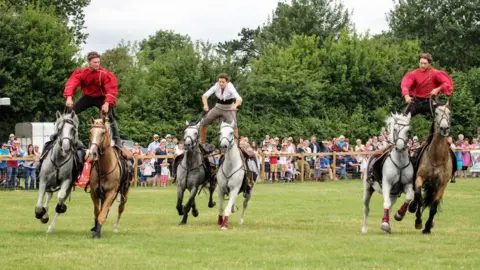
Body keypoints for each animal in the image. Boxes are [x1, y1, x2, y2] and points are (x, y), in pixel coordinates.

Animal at [408, 103, 454, 234]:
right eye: (437, 113)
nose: (444, 128)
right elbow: (418, 195)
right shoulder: (420, 177)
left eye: (449, 113)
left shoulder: (441, 185)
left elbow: (433, 206)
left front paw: (427, 227)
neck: (436, 157)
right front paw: (418, 221)